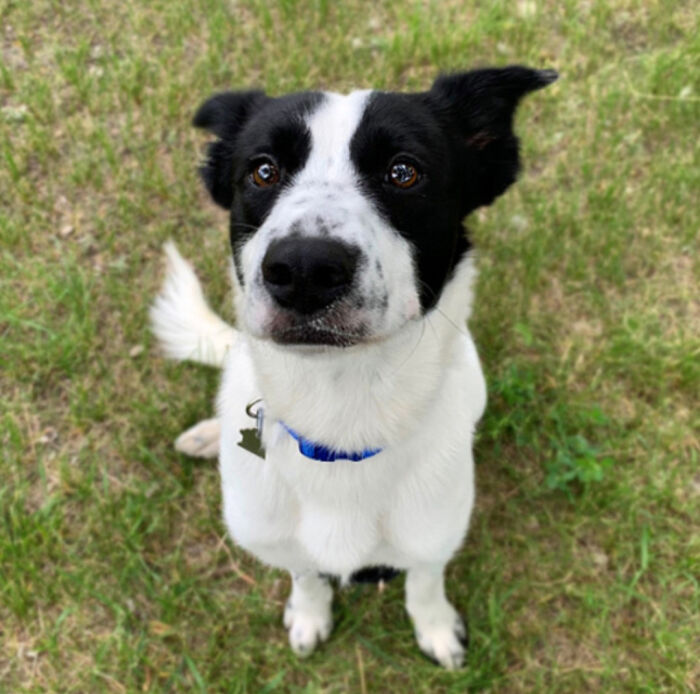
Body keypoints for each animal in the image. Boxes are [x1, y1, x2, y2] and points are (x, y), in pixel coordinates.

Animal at [150, 65, 556, 668]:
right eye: (263, 170)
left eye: (404, 172)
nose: (303, 268)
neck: (340, 417)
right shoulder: (280, 541)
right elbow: (306, 574)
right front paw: (310, 615)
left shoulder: (433, 535)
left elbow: (424, 581)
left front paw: (436, 628)